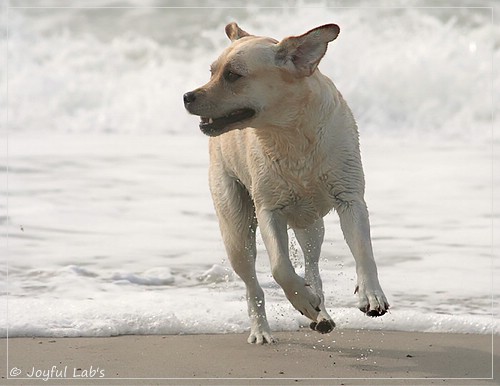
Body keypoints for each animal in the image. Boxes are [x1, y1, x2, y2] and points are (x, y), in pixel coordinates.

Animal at [182, 22, 388, 344]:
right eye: (212, 71)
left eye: (232, 75)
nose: (187, 96)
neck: (290, 132)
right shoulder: (269, 209)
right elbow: (280, 267)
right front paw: (303, 301)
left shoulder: (349, 197)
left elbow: (364, 251)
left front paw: (371, 296)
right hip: (235, 227)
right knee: (252, 284)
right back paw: (263, 330)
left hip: (311, 225)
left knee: (313, 264)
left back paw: (322, 314)